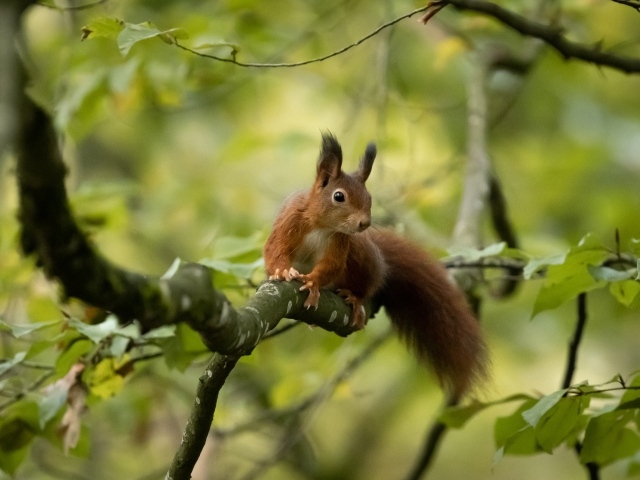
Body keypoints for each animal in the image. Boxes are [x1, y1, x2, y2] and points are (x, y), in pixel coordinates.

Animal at [262, 133, 488, 400]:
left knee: (367, 284)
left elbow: (331, 266)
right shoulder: (290, 221)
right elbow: (275, 249)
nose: (365, 223)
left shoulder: (341, 243)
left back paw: (355, 298)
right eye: (339, 196)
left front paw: (313, 281)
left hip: (363, 258)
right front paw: (282, 271)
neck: (322, 225)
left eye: (369, 198)